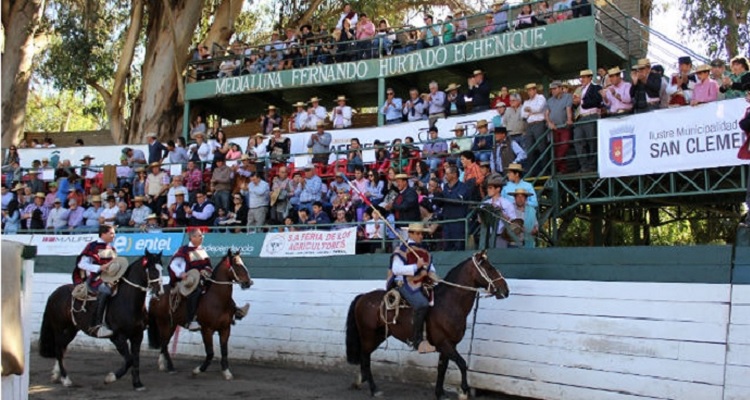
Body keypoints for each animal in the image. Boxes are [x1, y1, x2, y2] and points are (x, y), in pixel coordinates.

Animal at [38, 250, 164, 390]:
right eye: (152, 270)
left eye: (162, 269)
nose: (160, 292)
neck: (128, 302)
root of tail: (55, 293)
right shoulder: (117, 337)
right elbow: (129, 360)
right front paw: (110, 378)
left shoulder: (137, 335)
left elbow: (136, 360)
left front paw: (137, 384)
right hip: (59, 328)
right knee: (59, 349)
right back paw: (65, 379)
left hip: (71, 329)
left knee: (62, 348)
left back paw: (56, 375)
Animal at [148, 248, 254, 380]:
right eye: (237, 265)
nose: (249, 282)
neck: (217, 299)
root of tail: (155, 296)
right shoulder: (206, 330)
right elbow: (210, 353)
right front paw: (198, 370)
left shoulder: (225, 329)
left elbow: (224, 351)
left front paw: (226, 371)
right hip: (164, 323)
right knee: (164, 343)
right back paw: (171, 367)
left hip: (171, 324)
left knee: (164, 343)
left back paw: (162, 364)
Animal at [346, 250, 512, 396]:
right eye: (489, 268)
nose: (505, 290)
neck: (448, 303)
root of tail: (363, 297)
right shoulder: (445, 343)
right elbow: (462, 364)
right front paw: (464, 391)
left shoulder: (448, 346)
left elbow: (442, 368)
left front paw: (440, 393)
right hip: (368, 335)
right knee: (365, 359)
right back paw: (374, 389)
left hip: (379, 335)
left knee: (364, 356)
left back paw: (361, 381)